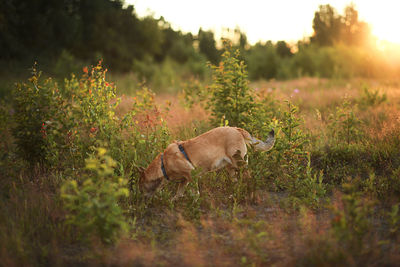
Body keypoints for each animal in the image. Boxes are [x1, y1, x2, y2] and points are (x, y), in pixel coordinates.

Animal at [138, 126, 276, 200]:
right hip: (231, 169)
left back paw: (249, 194)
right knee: (237, 183)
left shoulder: (191, 174)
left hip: (240, 164)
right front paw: (173, 201)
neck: (163, 165)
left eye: (141, 186)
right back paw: (234, 195)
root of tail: (236, 129)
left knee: (249, 179)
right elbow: (178, 193)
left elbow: (195, 193)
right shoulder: (184, 180)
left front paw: (195, 202)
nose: (142, 200)